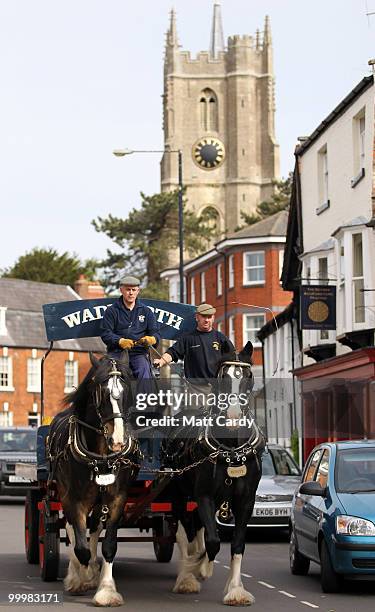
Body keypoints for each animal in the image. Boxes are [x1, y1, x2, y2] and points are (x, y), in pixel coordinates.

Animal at [47, 352, 139, 604]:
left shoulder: (117, 499)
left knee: (95, 528)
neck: (101, 455)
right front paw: (83, 577)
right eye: (101, 391)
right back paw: (77, 575)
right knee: (71, 531)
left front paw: (106, 589)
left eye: (127, 389)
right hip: (63, 494)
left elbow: (108, 545)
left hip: (99, 502)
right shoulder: (73, 500)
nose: (118, 440)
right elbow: (80, 547)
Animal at [165, 344, 268, 608]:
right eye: (223, 376)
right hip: (179, 497)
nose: (232, 417)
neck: (231, 449)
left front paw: (236, 590)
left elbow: (237, 544)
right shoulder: (204, 497)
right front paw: (201, 568)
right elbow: (212, 541)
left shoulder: (245, 501)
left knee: (197, 530)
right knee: (184, 535)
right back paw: (186, 578)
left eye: (248, 376)